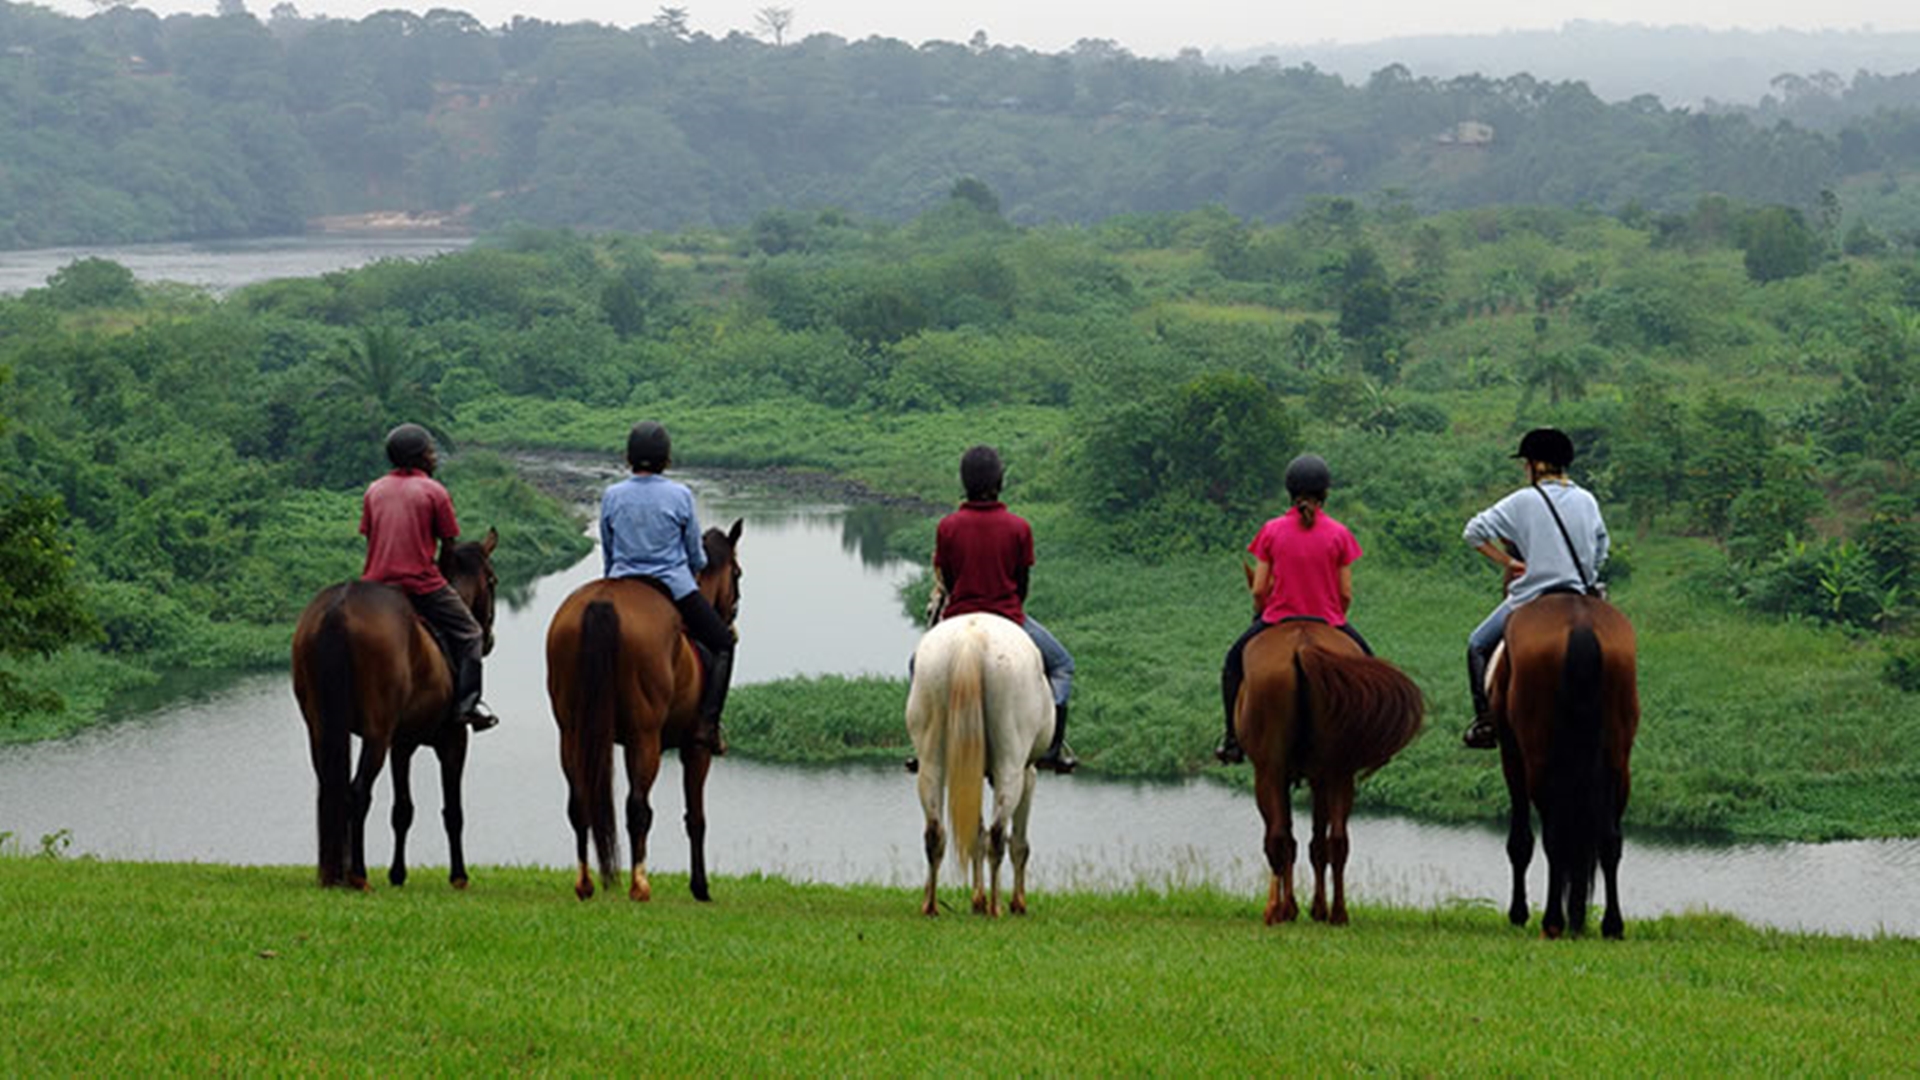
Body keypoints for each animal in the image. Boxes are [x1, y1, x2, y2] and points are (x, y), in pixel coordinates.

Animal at [288, 526, 495, 887]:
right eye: (493, 581)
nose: (489, 639)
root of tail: (338, 608)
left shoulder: (403, 744)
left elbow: (402, 811)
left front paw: (397, 874)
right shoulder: (453, 741)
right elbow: (452, 813)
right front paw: (458, 876)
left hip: (321, 728)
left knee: (331, 788)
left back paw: (335, 874)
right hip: (377, 733)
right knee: (357, 792)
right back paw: (357, 875)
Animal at [549, 518, 748, 899]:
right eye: (738, 574)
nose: (731, 622)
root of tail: (603, 602)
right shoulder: (694, 749)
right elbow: (696, 818)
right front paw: (700, 887)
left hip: (572, 732)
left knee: (579, 803)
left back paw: (585, 884)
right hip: (645, 737)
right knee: (638, 807)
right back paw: (639, 885)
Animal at [910, 611, 1059, 910]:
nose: (929, 613)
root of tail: (971, 640)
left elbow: (974, 833)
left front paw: (976, 899)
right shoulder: (1029, 773)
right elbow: (1018, 844)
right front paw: (1016, 903)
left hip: (931, 757)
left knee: (935, 832)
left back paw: (931, 905)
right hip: (1011, 763)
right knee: (999, 834)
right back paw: (996, 907)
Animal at [1236, 618, 1436, 922]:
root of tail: (1303, 646)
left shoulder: (1281, 775)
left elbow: (1291, 840)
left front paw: (1291, 907)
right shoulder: (1318, 778)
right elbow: (1316, 844)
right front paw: (1315, 907)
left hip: (1269, 770)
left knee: (1278, 838)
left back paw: (1274, 911)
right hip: (1338, 770)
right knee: (1337, 841)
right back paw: (1338, 913)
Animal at [1482, 588, 1635, 933]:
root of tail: (1580, 625)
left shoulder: (1512, 755)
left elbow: (1521, 841)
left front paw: (1519, 913)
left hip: (1538, 759)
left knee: (1555, 835)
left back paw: (1553, 921)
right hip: (1617, 761)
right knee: (1609, 839)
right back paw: (1609, 924)